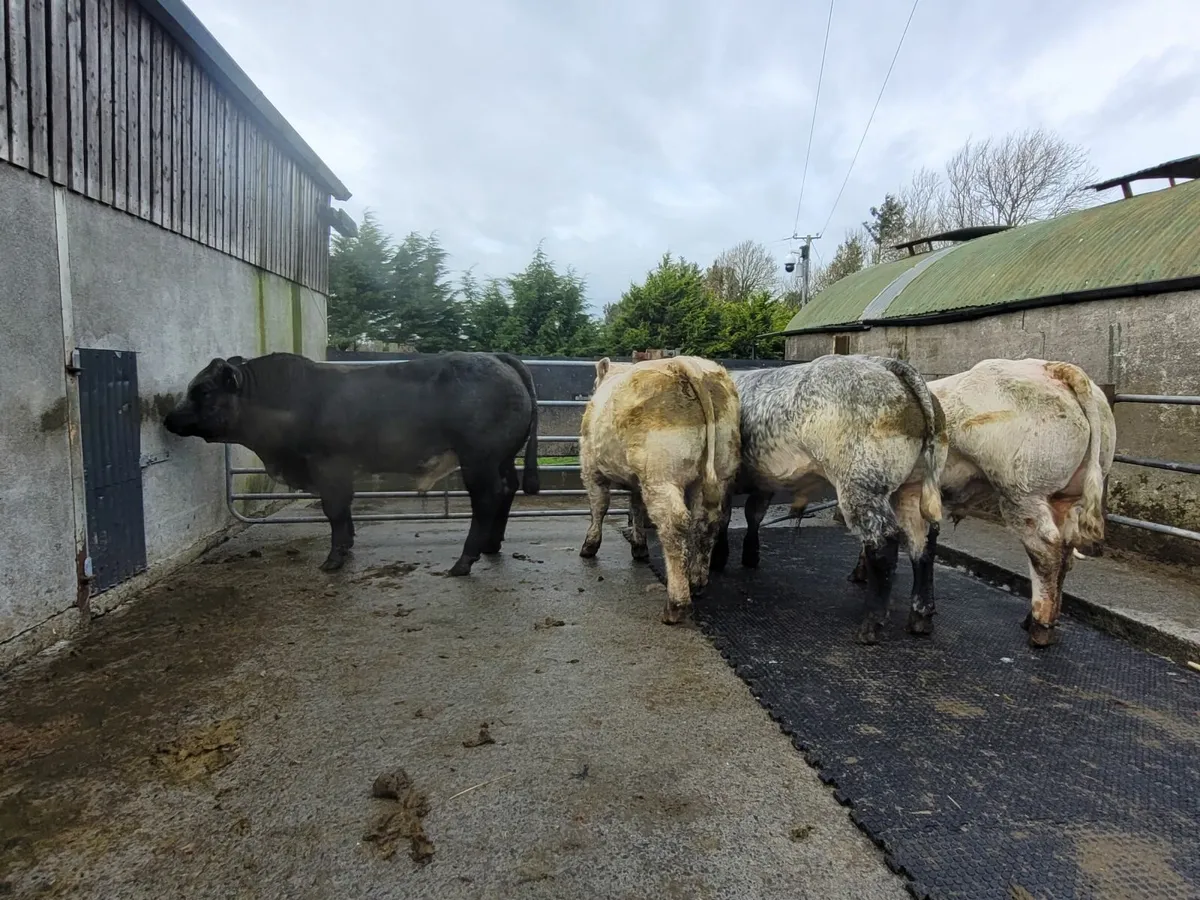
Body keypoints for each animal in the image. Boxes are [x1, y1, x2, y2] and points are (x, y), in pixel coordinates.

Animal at [163, 351, 541, 577]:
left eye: (203, 391)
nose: (168, 417)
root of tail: (495, 358)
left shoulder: (328, 465)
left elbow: (334, 510)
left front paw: (334, 558)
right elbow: (344, 510)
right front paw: (347, 546)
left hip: (478, 459)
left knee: (487, 498)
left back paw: (465, 560)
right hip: (503, 457)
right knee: (508, 488)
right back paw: (491, 545)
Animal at [578, 355, 741, 625]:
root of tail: (686, 364)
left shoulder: (591, 468)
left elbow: (599, 506)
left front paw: (589, 546)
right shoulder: (635, 481)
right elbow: (636, 507)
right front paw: (639, 546)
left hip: (660, 475)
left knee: (674, 524)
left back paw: (676, 605)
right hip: (719, 471)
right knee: (707, 523)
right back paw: (696, 581)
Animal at [710, 354, 947, 645]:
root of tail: (887, 364)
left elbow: (725, 517)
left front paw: (718, 559)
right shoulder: (764, 480)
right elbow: (754, 514)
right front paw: (750, 556)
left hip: (861, 484)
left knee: (884, 542)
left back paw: (871, 624)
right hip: (912, 487)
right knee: (922, 541)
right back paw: (920, 616)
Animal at [847, 358, 1116, 648]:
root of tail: (1054, 369)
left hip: (1022, 494)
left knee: (1046, 553)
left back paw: (1039, 628)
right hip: (1065, 498)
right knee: (1065, 554)